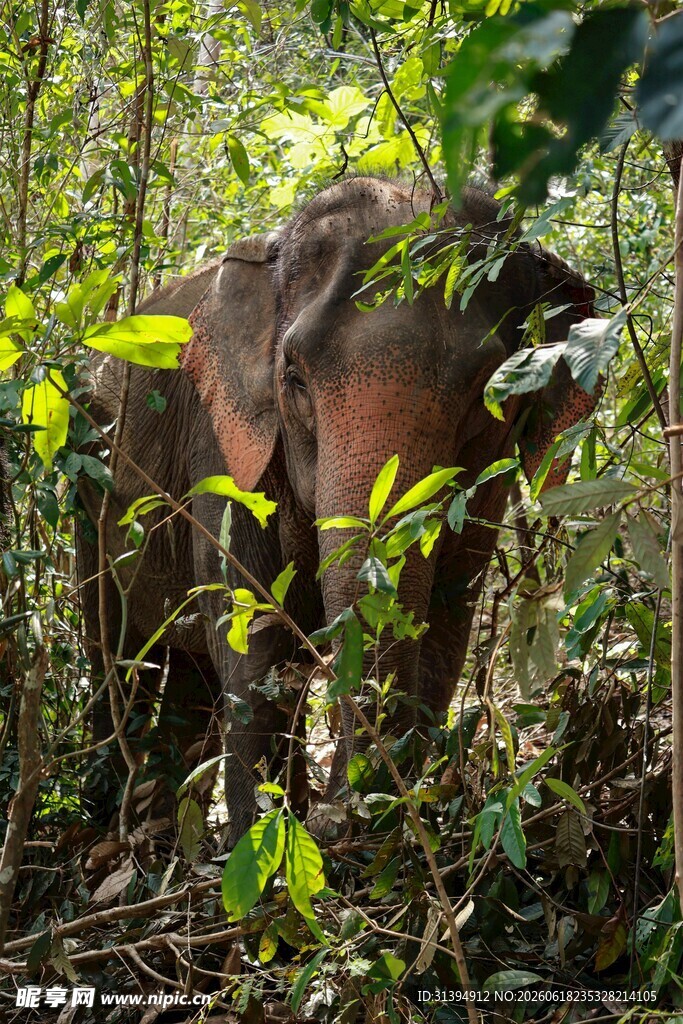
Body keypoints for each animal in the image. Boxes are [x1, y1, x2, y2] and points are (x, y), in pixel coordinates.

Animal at [77, 176, 595, 840]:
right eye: (294, 377)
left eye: (488, 393)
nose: (336, 818)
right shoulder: (221, 447)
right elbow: (251, 635)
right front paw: (258, 842)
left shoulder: (485, 489)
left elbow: (447, 626)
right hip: (88, 488)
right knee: (113, 647)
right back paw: (109, 831)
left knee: (189, 675)